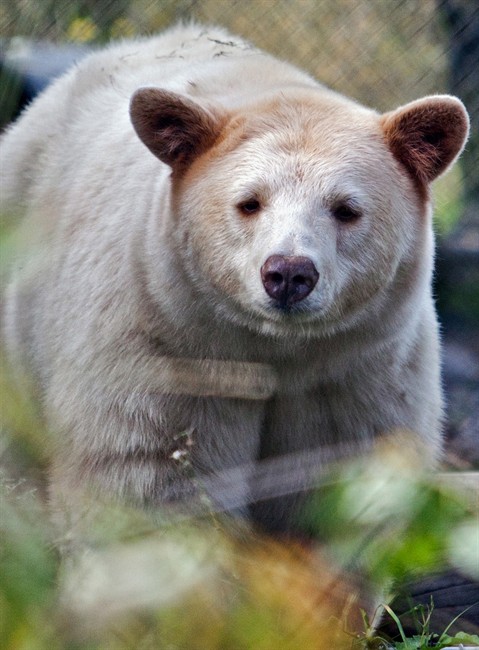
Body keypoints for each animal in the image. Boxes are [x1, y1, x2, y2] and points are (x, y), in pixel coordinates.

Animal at [0, 23, 469, 536]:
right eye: (249, 202)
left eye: (346, 209)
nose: (288, 273)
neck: (275, 349)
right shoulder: (170, 351)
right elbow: (153, 481)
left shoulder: (359, 371)